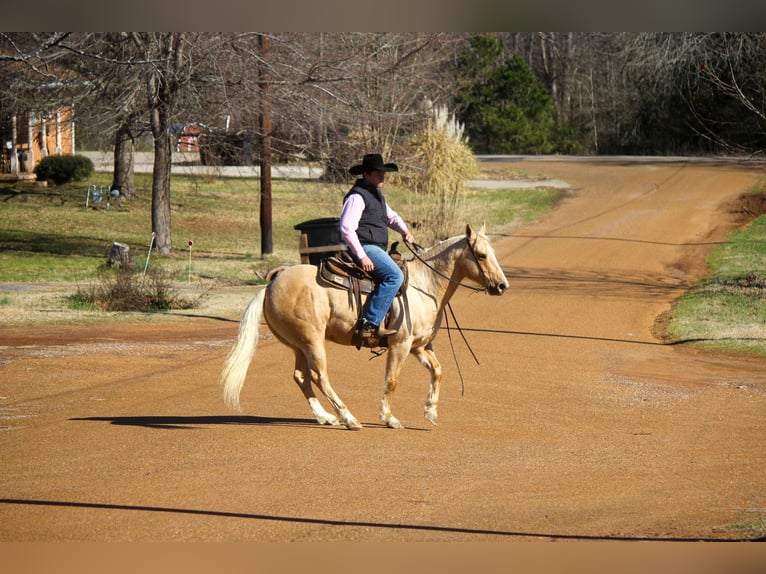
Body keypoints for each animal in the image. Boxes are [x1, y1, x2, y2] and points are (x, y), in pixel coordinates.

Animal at [222, 225, 510, 432]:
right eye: (481, 255)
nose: (502, 285)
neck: (423, 285)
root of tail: (273, 281)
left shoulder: (418, 346)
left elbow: (438, 371)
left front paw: (431, 412)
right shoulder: (400, 345)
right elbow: (392, 380)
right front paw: (389, 418)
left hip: (298, 345)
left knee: (301, 377)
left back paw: (326, 417)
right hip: (312, 340)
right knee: (320, 377)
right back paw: (349, 418)